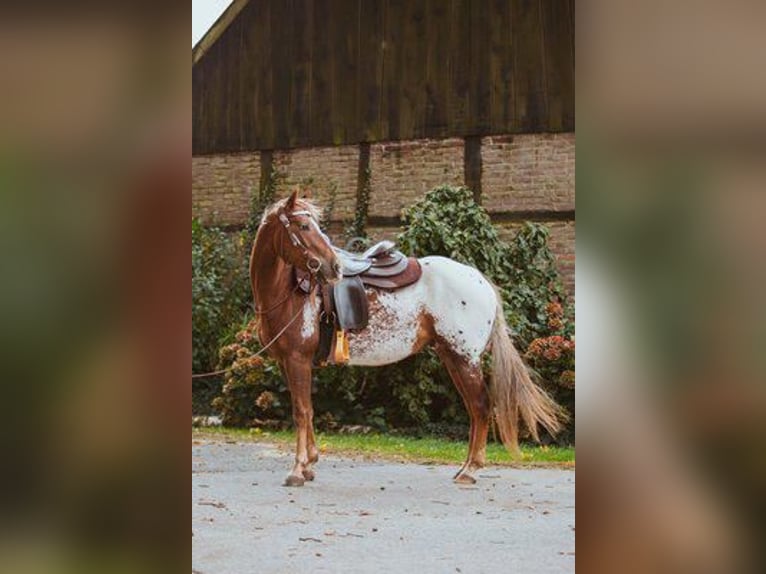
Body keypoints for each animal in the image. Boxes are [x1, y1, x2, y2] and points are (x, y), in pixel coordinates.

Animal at [249, 190, 564, 486]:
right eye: (303, 226)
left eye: (311, 225)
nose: (334, 267)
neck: (289, 293)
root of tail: (480, 280)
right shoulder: (289, 362)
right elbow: (309, 410)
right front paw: (310, 464)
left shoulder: (298, 360)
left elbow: (301, 412)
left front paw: (297, 470)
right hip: (452, 357)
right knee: (474, 409)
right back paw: (465, 468)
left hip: (465, 358)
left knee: (481, 406)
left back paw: (470, 470)